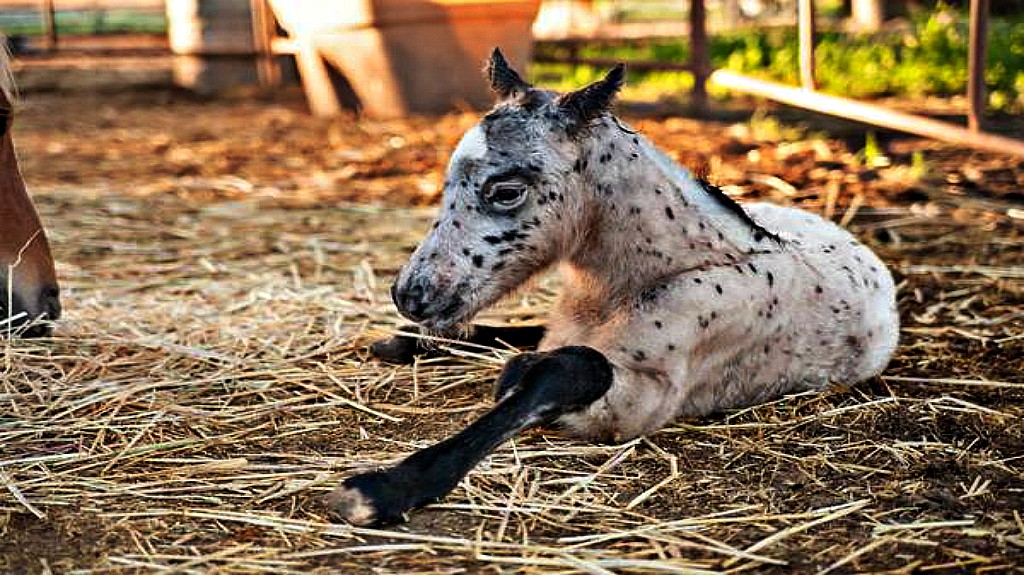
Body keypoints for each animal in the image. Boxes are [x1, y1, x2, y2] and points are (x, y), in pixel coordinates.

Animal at [328, 48, 899, 526]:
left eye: (507, 191)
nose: (410, 294)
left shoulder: (641, 400)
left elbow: (571, 368)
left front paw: (383, 489)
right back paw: (401, 341)